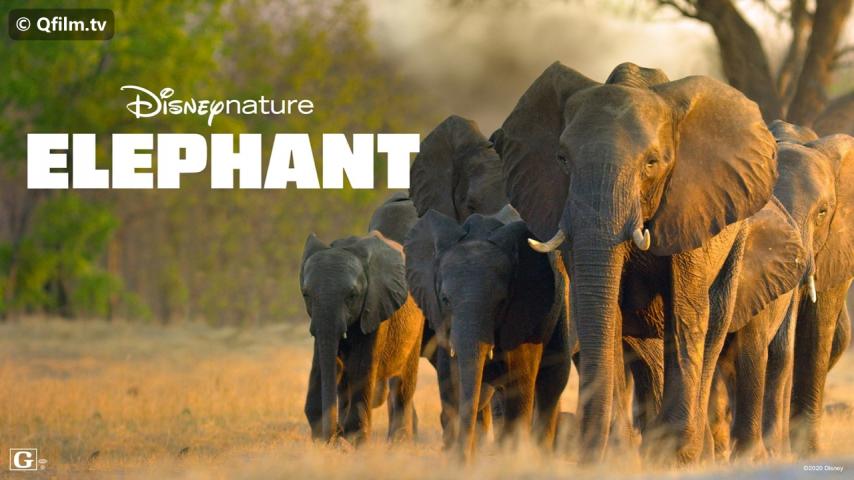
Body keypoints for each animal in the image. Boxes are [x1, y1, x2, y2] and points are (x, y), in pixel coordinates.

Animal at [301, 231, 424, 445]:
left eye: (352, 295)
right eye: (306, 294)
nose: (335, 434)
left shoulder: (375, 307)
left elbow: (361, 366)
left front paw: (354, 440)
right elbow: (322, 364)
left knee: (403, 384)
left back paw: (398, 442)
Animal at [405, 205, 571, 460]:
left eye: (501, 302)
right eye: (445, 299)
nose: (464, 459)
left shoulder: (524, 311)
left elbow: (519, 382)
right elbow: (452, 381)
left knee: (553, 380)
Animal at [495, 61, 778, 463]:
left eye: (651, 163)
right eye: (562, 159)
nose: (585, 447)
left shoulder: (690, 205)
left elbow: (686, 312)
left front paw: (676, 455)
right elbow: (602, 312)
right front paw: (618, 456)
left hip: (737, 236)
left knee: (714, 324)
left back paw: (696, 450)